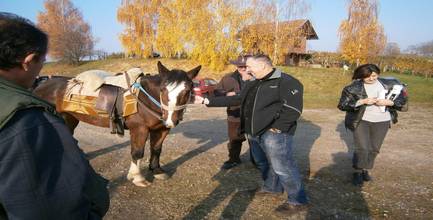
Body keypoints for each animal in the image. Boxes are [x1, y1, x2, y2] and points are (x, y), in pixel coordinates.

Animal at [33, 61, 201, 186]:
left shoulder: (161, 129)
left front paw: (156, 170)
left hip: (70, 118)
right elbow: (137, 152)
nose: (172, 119)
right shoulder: (139, 129)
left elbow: (156, 149)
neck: (145, 98)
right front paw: (137, 177)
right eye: (163, 89)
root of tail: (40, 86)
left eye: (187, 91)